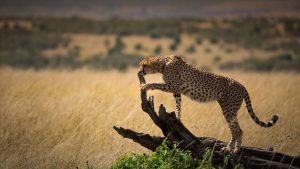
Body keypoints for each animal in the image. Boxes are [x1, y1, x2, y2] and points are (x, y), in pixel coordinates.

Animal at [138, 54, 278, 153]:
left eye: (143, 65)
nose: (139, 71)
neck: (163, 63)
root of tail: (242, 85)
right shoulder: (176, 91)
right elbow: (178, 105)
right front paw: (178, 117)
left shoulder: (172, 86)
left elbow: (156, 84)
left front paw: (144, 86)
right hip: (229, 109)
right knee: (239, 130)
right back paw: (236, 149)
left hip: (229, 110)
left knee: (237, 130)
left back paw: (229, 149)